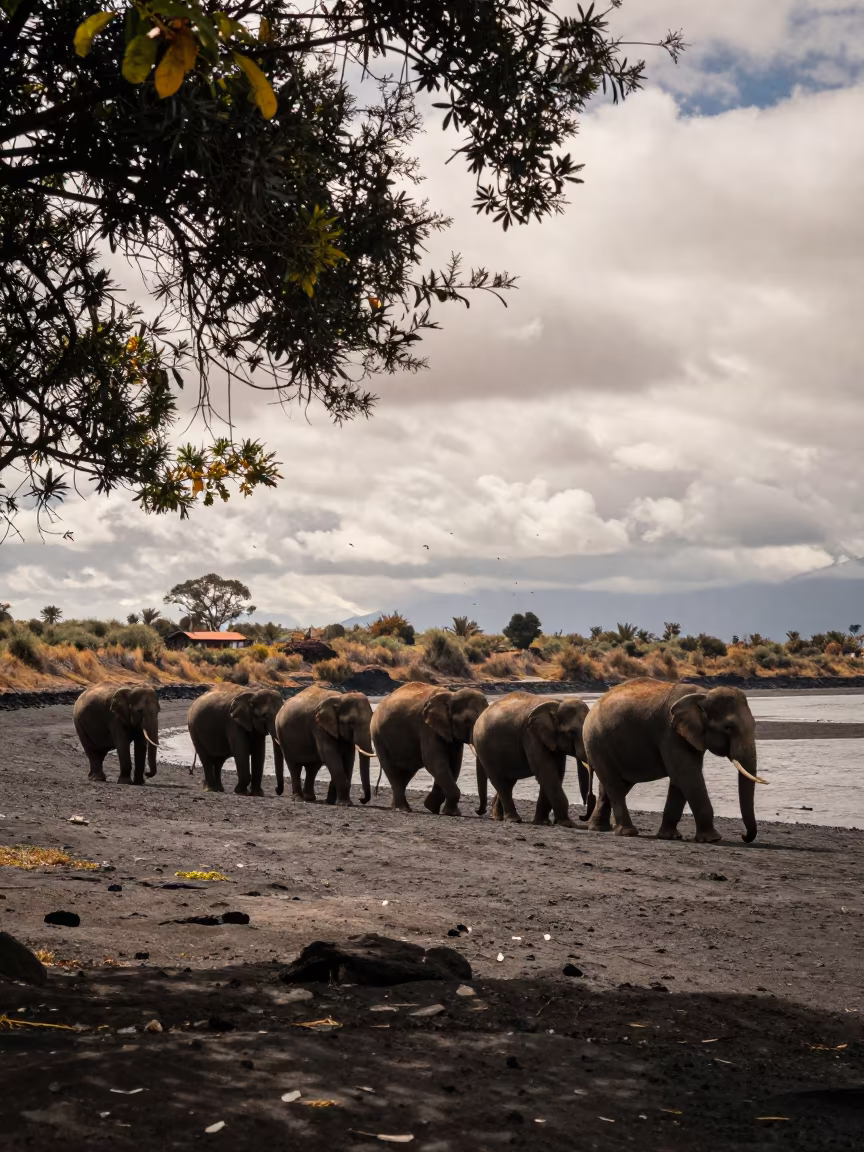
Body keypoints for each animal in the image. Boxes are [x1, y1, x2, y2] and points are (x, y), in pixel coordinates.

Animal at [370, 683, 488, 816]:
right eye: (466, 721)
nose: (478, 811)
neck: (451, 695)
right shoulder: (426, 727)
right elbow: (435, 762)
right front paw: (447, 812)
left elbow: (454, 764)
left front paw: (433, 808)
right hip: (379, 738)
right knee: (394, 773)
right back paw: (403, 809)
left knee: (405, 774)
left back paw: (396, 807)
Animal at [473, 692, 590, 827]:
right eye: (571, 732)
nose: (582, 816)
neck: (557, 703)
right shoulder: (531, 735)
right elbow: (546, 771)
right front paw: (568, 824)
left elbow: (556, 772)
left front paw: (542, 822)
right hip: (484, 749)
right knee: (499, 781)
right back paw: (513, 820)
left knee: (508, 781)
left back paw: (498, 817)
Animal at [582, 678, 767, 843]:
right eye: (728, 727)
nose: (744, 836)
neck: (704, 694)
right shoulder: (671, 732)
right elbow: (687, 774)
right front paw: (713, 839)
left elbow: (680, 778)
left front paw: (670, 836)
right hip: (596, 742)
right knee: (614, 784)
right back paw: (627, 832)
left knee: (614, 785)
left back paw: (598, 828)